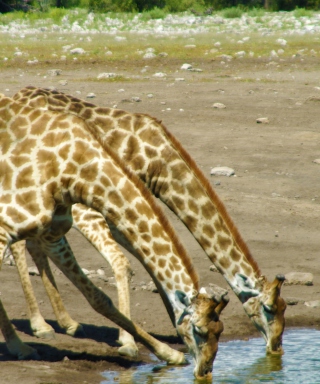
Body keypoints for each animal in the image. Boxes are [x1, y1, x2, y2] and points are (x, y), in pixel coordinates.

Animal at [0, 95, 228, 378]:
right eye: (199, 330)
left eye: (220, 331)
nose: (206, 370)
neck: (76, 170)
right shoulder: (6, 224)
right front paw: (19, 346)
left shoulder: (52, 231)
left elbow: (99, 298)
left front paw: (167, 353)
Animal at [12, 86, 286, 354]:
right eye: (269, 309)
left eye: (284, 308)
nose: (276, 347)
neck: (158, 163)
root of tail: (19, 94)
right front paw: (128, 340)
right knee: (20, 242)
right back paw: (40, 325)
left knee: (33, 242)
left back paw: (65, 322)